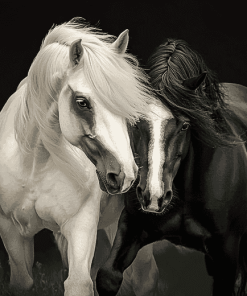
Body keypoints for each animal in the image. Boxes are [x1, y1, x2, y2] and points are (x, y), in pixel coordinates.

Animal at [0, 17, 154, 296]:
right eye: (82, 102)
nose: (125, 175)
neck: (35, 164)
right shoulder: (11, 230)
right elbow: (22, 281)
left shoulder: (80, 226)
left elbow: (79, 283)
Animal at [95, 38, 247, 294]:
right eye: (136, 121)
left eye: (185, 125)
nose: (153, 196)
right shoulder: (133, 224)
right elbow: (108, 276)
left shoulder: (226, 253)